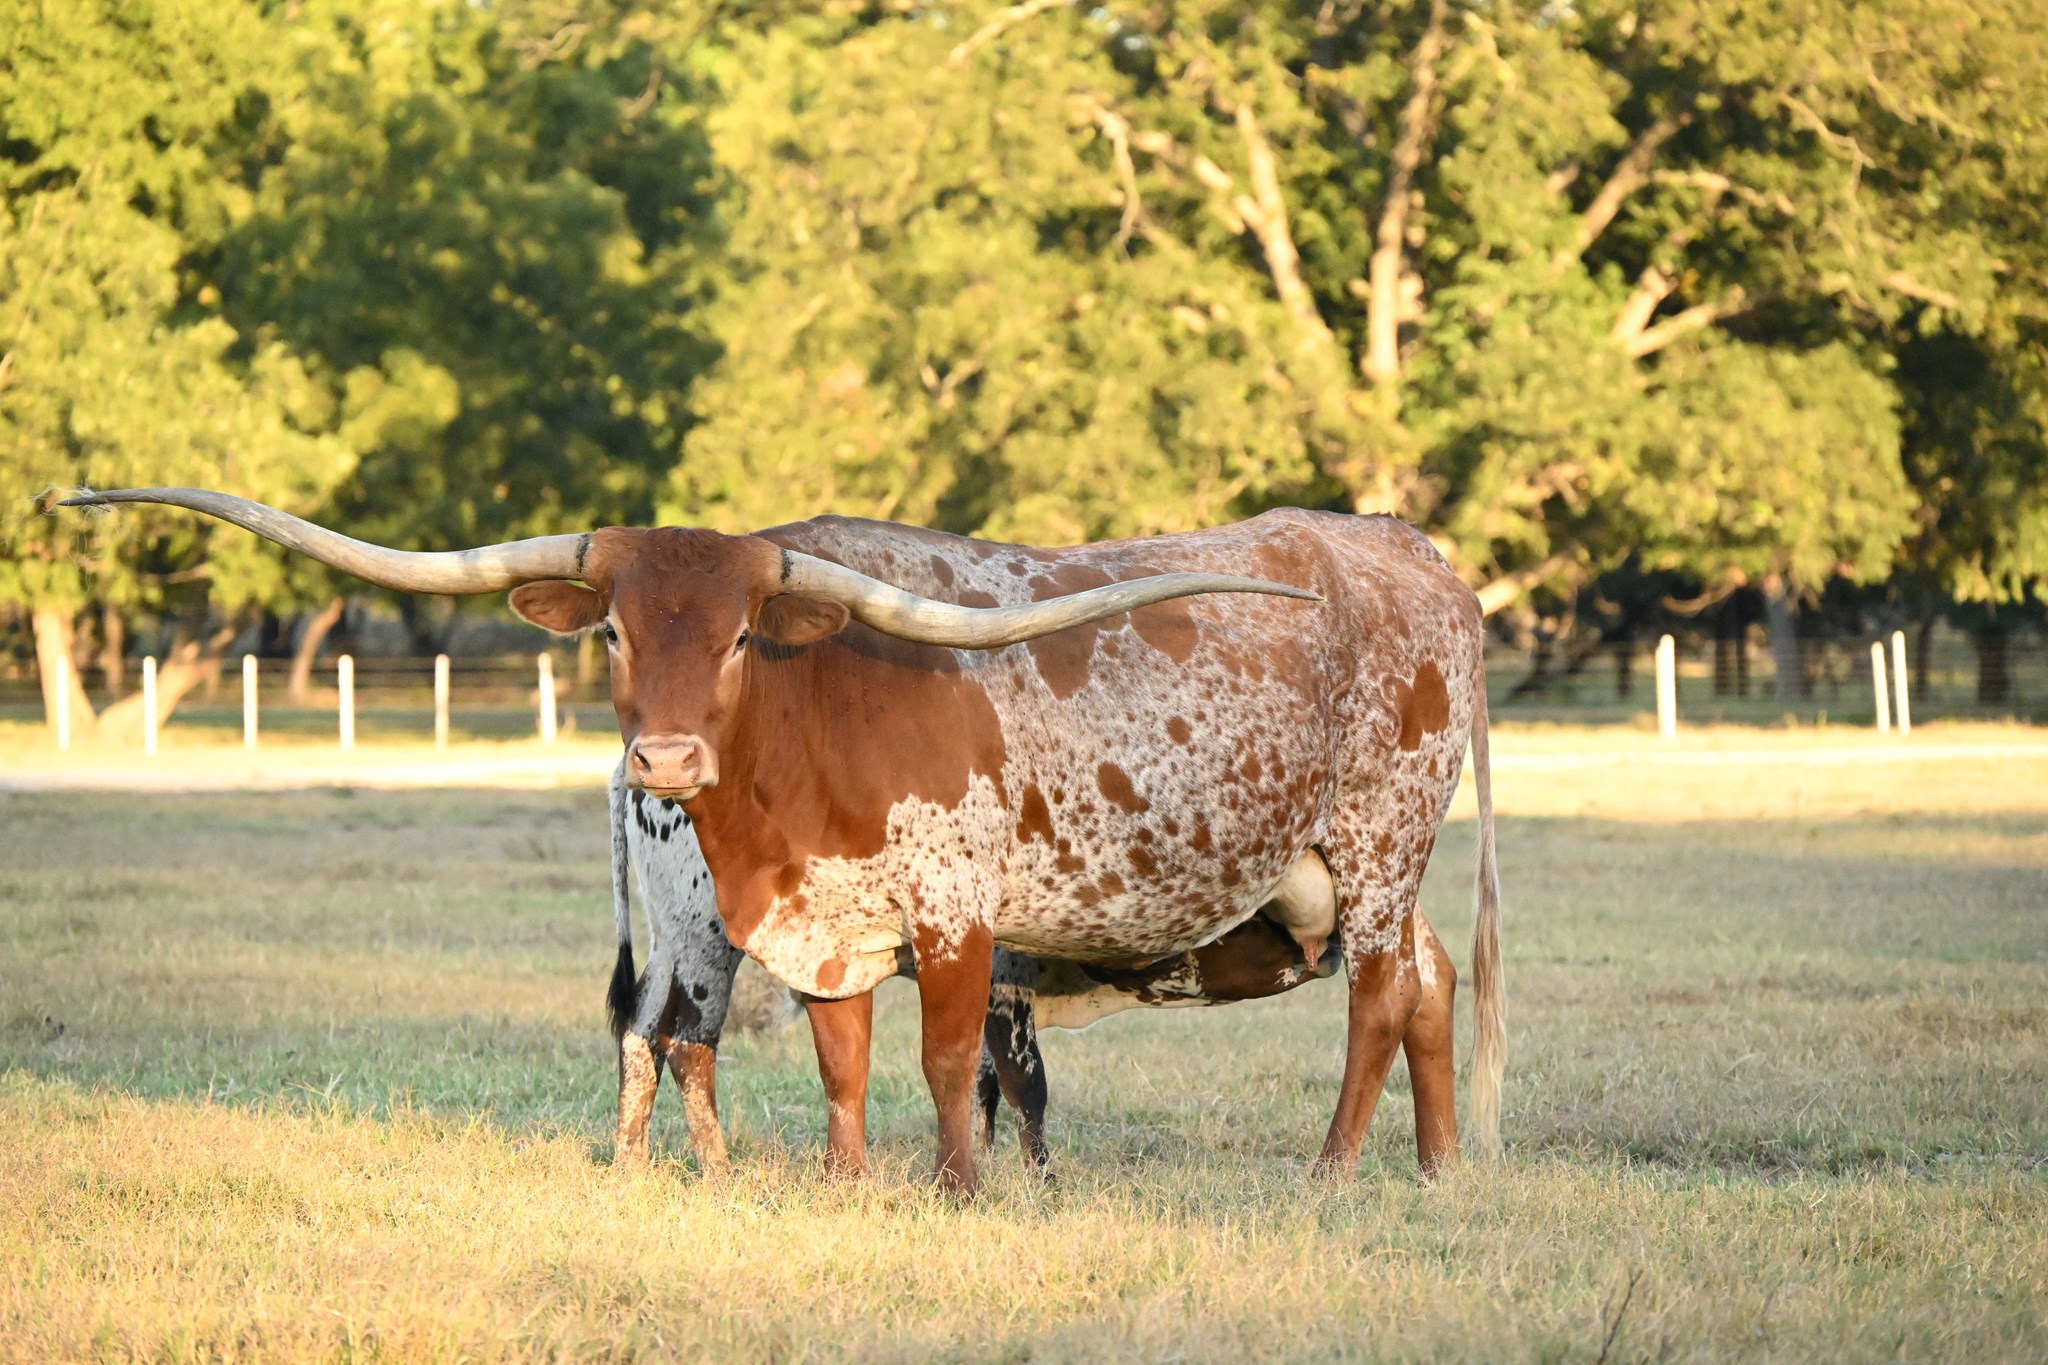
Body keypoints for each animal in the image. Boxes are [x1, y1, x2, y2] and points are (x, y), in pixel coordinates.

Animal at [63, 489, 1505, 1196]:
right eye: (613, 629)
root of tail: (1401, 544)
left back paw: (1334, 1169)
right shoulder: (827, 923)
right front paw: (841, 1182)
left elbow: (945, 1061)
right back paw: (1435, 1170)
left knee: (1381, 994)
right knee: (1432, 982)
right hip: (1354, 867)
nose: (663, 763)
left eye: (743, 634)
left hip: (1375, 846)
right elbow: (842, 1063)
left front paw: (959, 1189)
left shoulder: (957, 913)